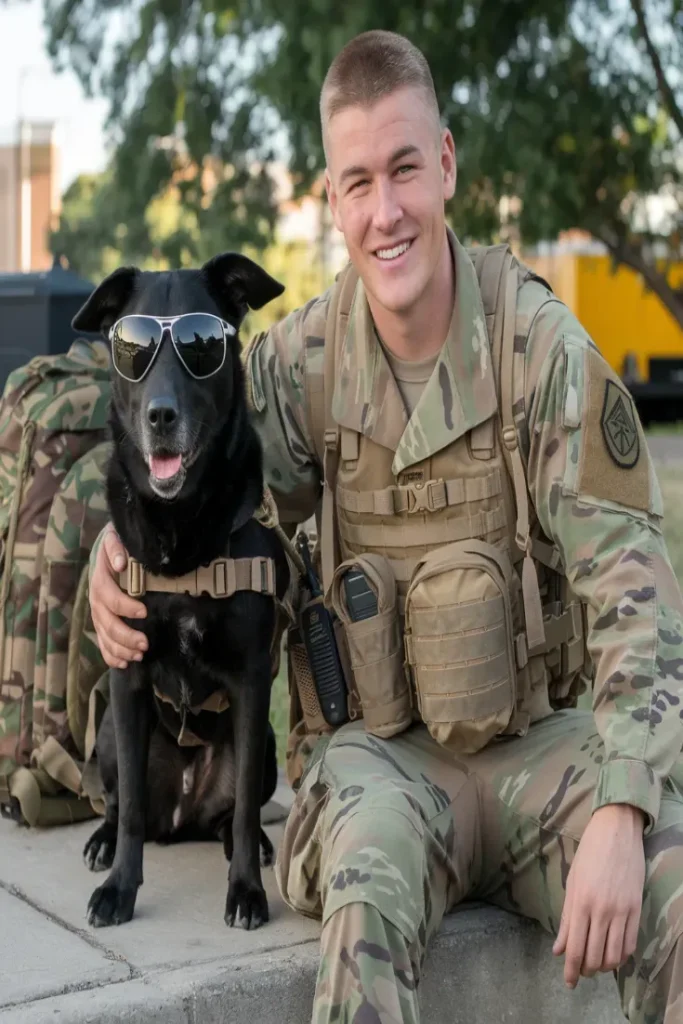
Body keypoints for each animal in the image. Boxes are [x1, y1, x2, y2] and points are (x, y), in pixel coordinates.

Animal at [71, 251, 288, 933]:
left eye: (201, 348)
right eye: (132, 351)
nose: (160, 416)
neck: (182, 532)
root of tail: (184, 813)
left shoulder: (252, 680)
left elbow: (243, 814)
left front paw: (246, 891)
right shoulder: (129, 673)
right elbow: (131, 814)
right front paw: (119, 888)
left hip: (264, 745)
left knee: (233, 813)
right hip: (111, 734)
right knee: (127, 805)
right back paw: (103, 840)